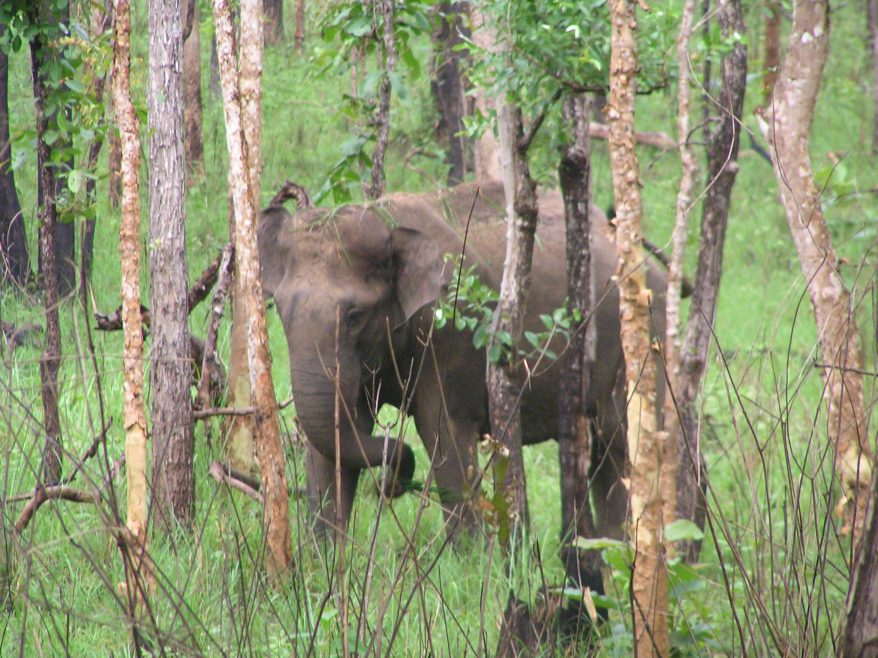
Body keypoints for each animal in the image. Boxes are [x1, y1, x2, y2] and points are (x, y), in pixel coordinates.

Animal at [257, 180, 667, 552]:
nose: (390, 484)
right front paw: (322, 561)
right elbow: (340, 432)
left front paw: (467, 558)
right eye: (279, 309)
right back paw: (611, 549)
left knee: (621, 438)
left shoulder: (453, 333)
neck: (389, 223)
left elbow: (441, 430)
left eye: (355, 315)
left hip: (645, 336)